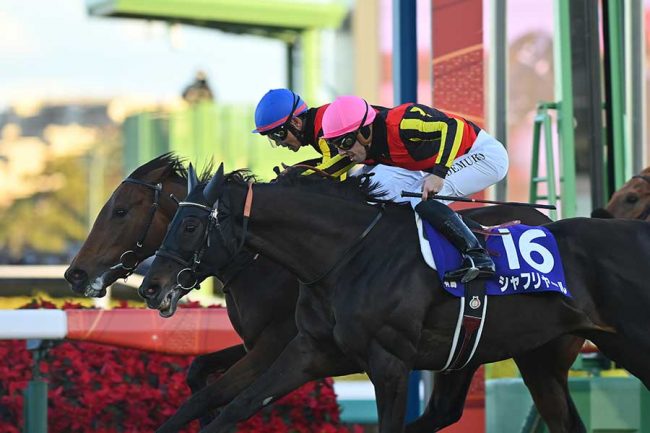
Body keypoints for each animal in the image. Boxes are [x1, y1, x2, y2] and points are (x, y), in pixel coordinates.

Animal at [66, 154, 580, 432]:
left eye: (120, 210)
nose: (75, 274)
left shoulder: (275, 346)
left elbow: (212, 396)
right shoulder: (274, 344)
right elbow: (200, 375)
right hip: (476, 352)